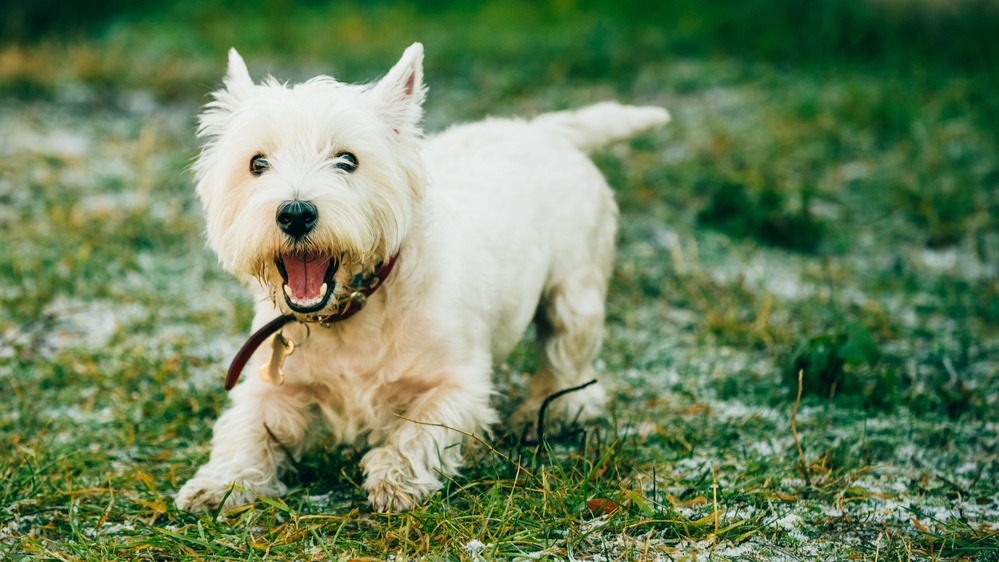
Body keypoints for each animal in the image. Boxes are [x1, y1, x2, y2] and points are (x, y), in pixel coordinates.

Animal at [176, 43, 668, 512]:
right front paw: (218, 484)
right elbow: (244, 431)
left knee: (568, 358)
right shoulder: (269, 386)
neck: (351, 314)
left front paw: (395, 479)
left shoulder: (458, 383)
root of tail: (541, 130)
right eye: (257, 163)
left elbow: (421, 428)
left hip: (574, 292)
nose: (296, 214)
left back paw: (545, 412)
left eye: (347, 160)